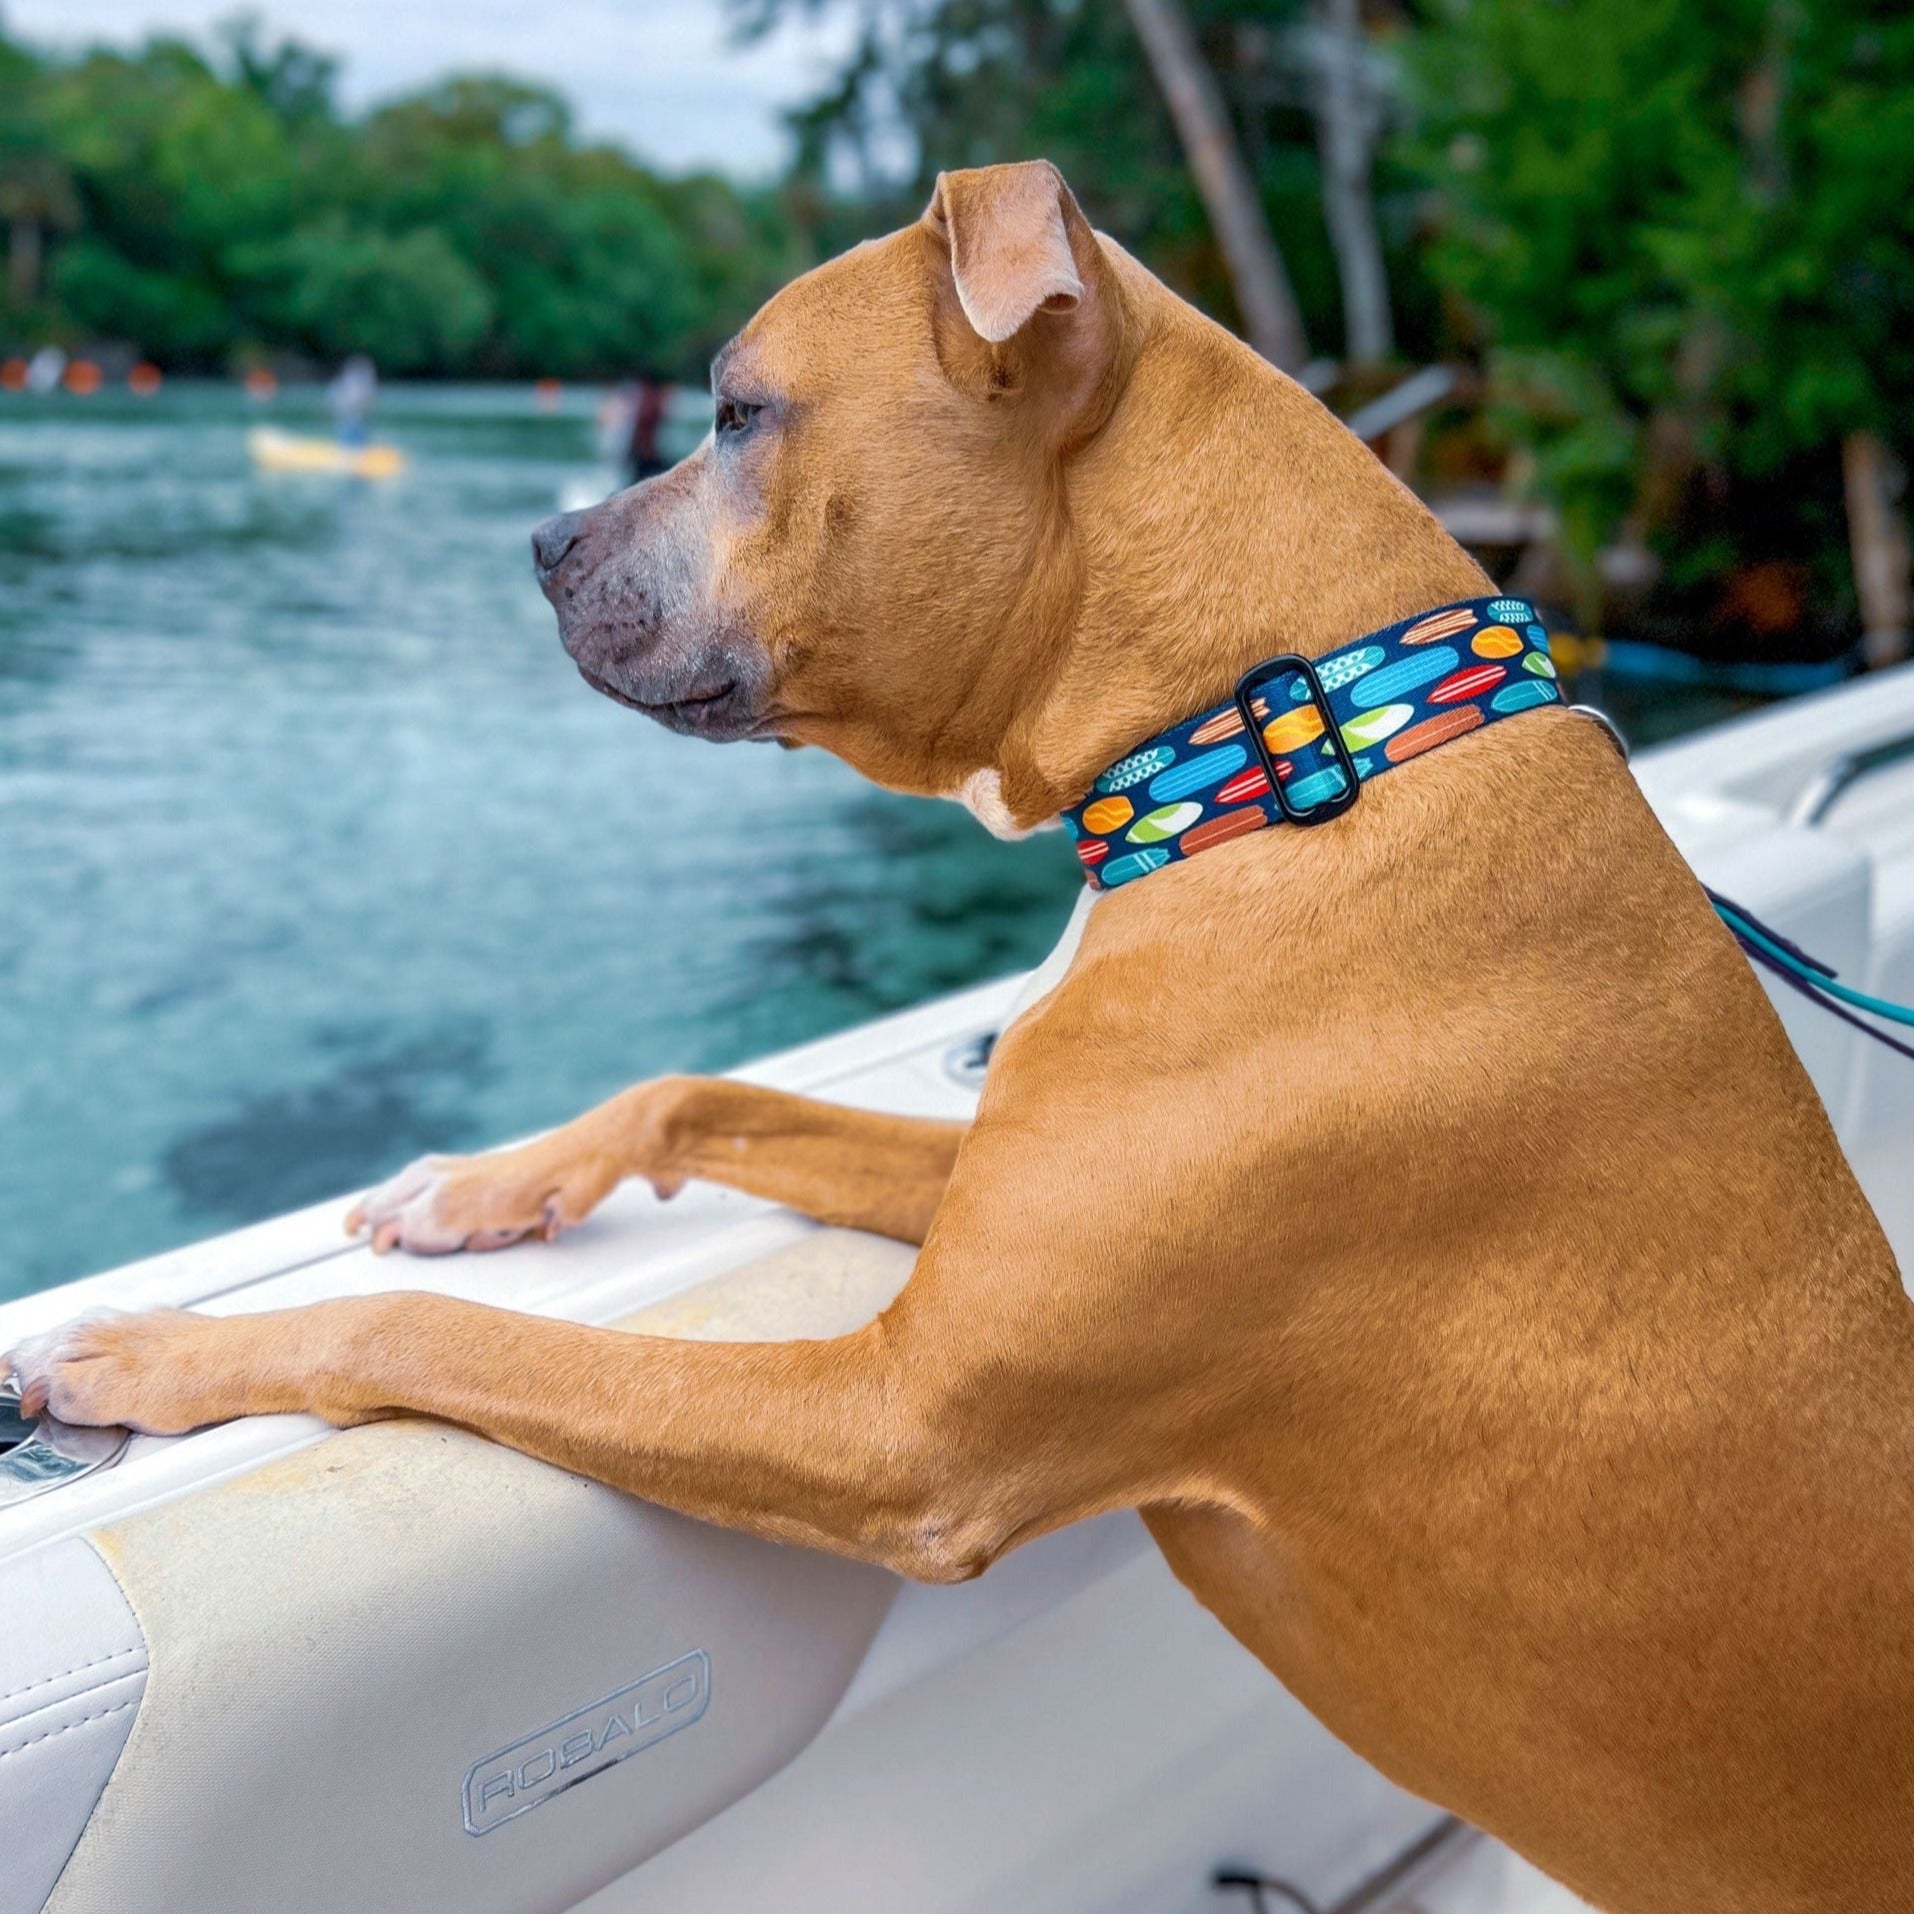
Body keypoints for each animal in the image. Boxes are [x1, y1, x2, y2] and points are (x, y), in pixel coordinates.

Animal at [14, 168, 1914, 1914]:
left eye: (736, 411)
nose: (536, 543)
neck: (1295, 744)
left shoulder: (897, 1428)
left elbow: (441, 1334)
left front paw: (152, 1351)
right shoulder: (974, 1200)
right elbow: (688, 1087)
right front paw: (483, 1184)